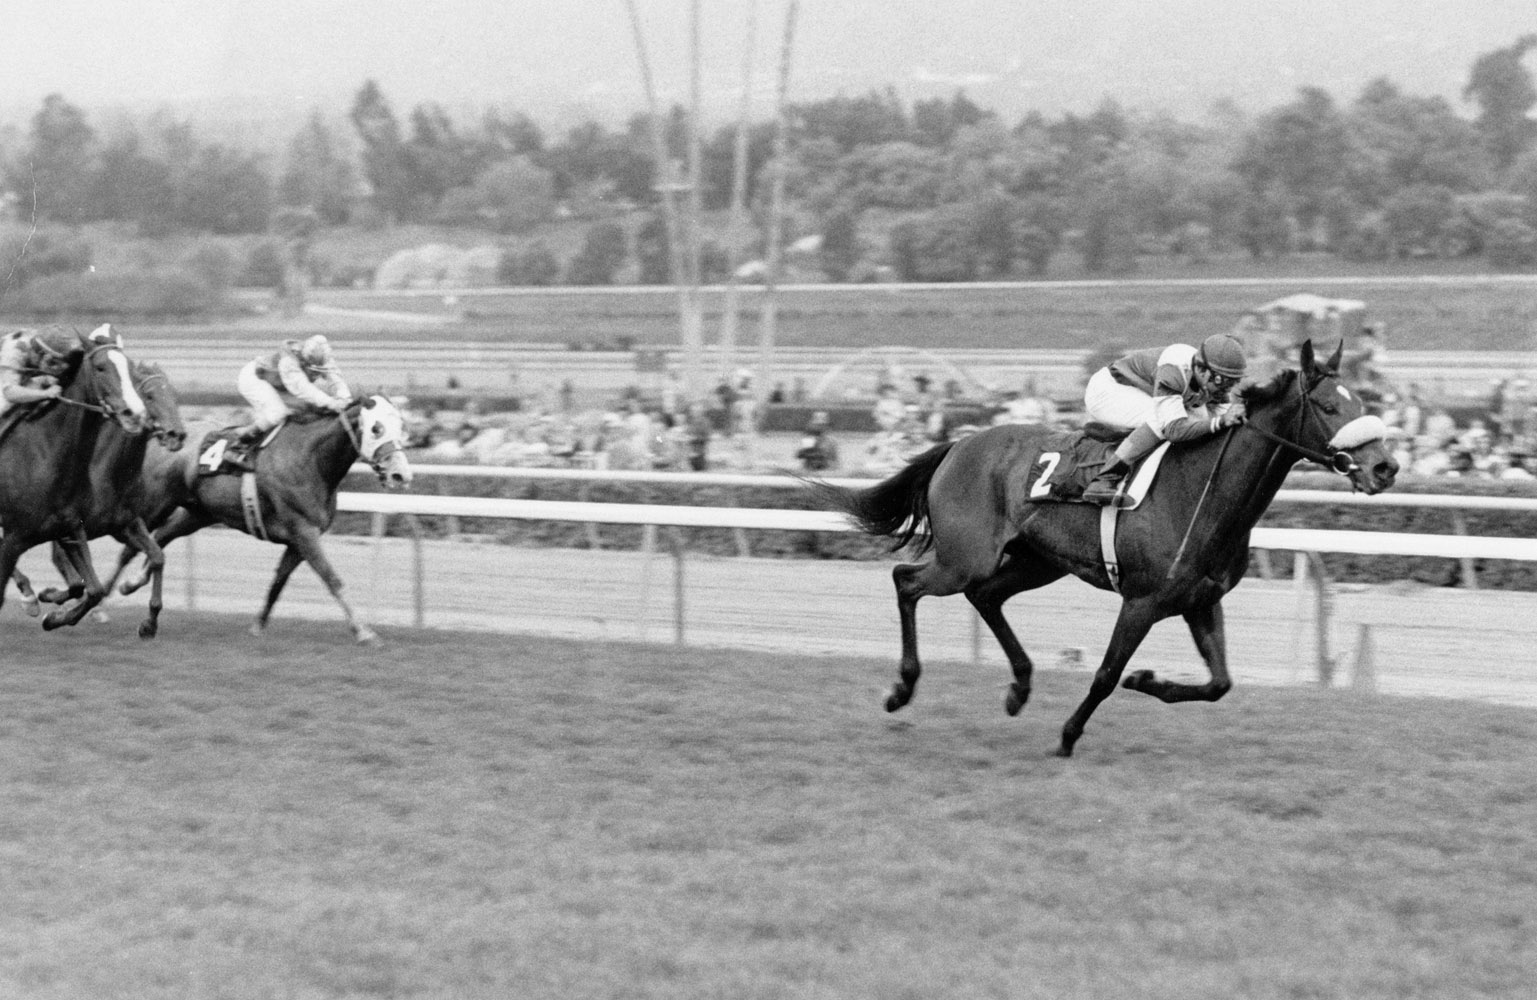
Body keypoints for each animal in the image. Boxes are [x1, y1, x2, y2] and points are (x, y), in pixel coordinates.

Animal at [108, 393, 414, 642]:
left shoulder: (299, 540)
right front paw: (364, 631)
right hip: (154, 504)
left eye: (402, 427)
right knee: (131, 547)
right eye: (376, 428)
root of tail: (164, 436)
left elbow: (278, 583)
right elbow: (332, 579)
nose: (401, 474)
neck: (311, 460)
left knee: (160, 539)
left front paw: (257, 627)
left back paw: (137, 597)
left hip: (198, 513)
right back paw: (105, 598)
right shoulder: (304, 531)